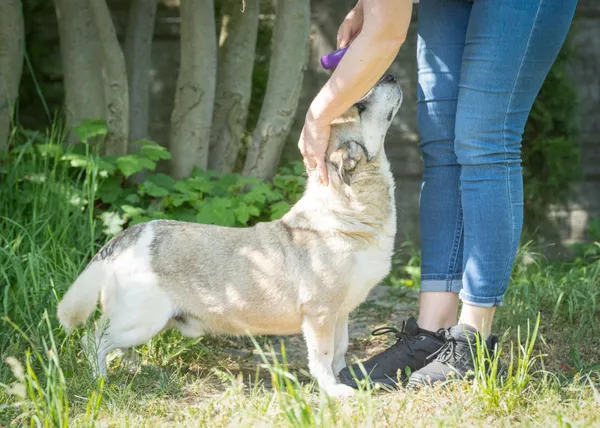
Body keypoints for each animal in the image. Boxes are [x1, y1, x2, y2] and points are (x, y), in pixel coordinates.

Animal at [58, 75, 404, 400]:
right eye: (360, 106)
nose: (389, 77)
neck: (347, 212)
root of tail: (131, 234)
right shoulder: (320, 315)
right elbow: (323, 357)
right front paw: (334, 390)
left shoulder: (341, 313)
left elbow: (340, 352)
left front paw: (347, 379)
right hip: (140, 319)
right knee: (94, 340)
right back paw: (99, 379)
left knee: (115, 345)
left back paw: (139, 368)